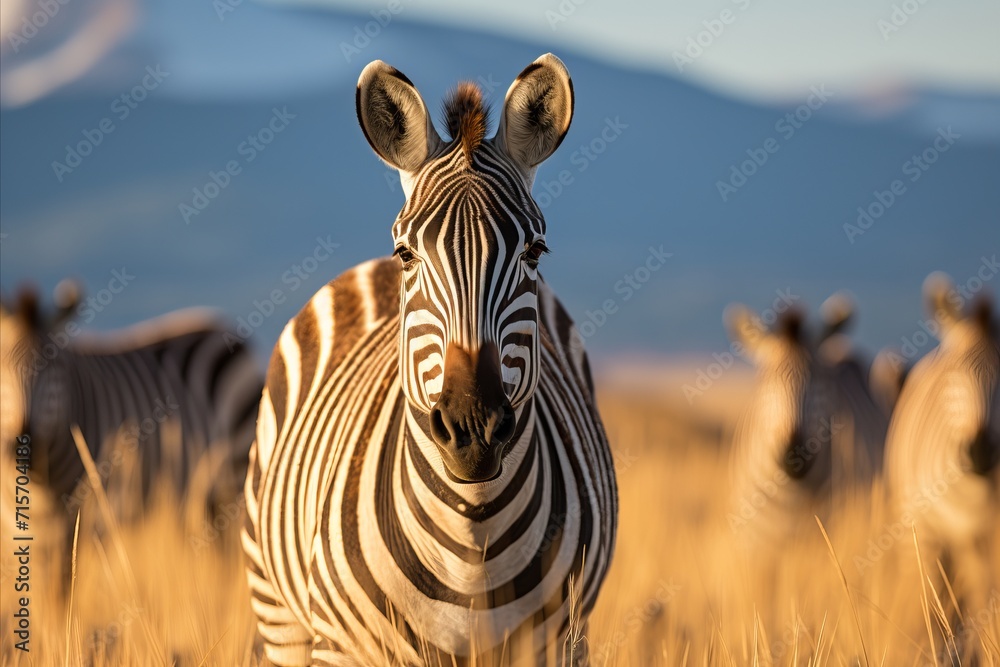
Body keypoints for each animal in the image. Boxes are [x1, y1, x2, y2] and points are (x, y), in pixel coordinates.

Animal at [242, 54, 618, 666]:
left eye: (534, 251)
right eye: (406, 253)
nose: (473, 428)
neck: (471, 541)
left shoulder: (561, 641)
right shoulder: (341, 648)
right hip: (280, 616)